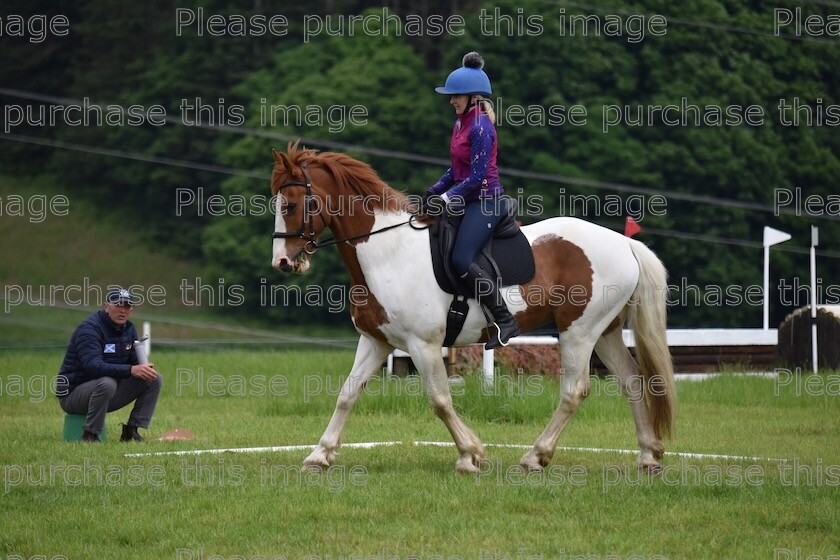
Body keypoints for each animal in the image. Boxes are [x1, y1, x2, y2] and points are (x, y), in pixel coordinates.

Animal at [270, 142, 676, 474]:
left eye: (290, 205)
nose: (283, 262)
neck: (388, 252)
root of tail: (625, 244)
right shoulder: (376, 341)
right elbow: (347, 393)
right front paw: (319, 455)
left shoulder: (423, 345)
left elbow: (439, 400)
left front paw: (470, 455)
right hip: (604, 332)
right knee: (632, 381)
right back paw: (648, 456)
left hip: (579, 332)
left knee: (574, 390)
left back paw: (536, 456)